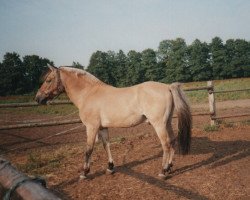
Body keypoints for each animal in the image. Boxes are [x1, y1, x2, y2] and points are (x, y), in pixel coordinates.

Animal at [35, 64, 191, 180]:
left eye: (48, 80)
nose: (38, 99)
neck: (88, 93)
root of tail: (167, 87)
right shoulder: (102, 127)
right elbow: (106, 145)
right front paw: (110, 167)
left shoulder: (91, 127)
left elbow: (88, 149)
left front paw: (84, 172)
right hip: (167, 122)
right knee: (172, 141)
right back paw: (170, 168)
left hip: (159, 124)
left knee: (166, 145)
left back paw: (163, 171)